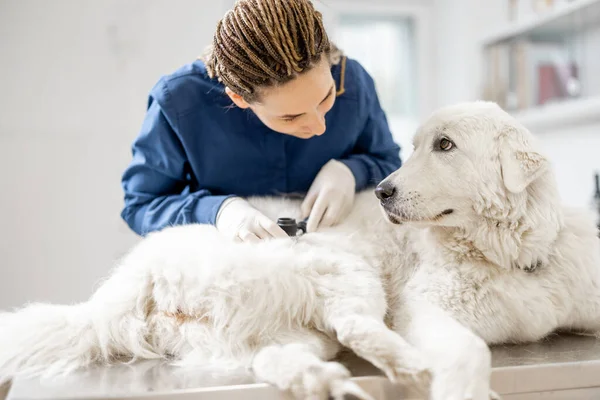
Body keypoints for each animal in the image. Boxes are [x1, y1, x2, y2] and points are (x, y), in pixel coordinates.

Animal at [1, 101, 600, 400]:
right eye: (410, 149)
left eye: (445, 146)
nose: (382, 191)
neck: (508, 254)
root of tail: (135, 280)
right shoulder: (425, 308)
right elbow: (471, 349)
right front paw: (463, 388)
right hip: (344, 270)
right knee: (357, 326)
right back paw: (407, 365)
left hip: (285, 331)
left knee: (279, 355)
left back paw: (327, 382)